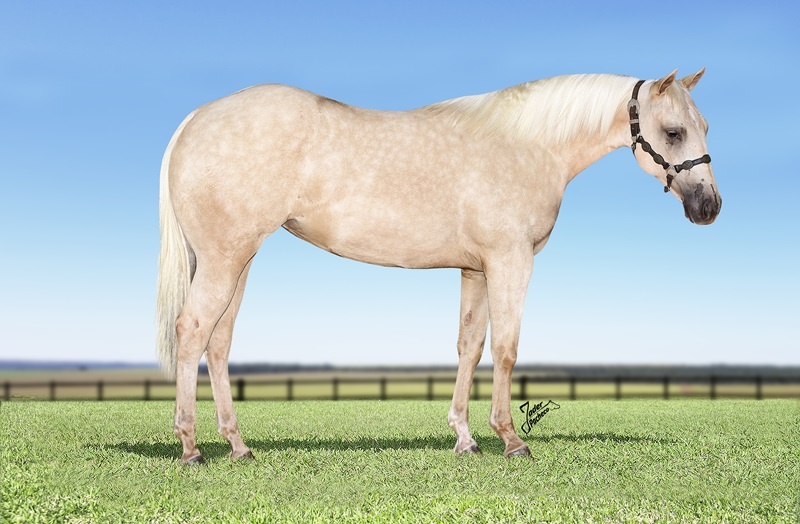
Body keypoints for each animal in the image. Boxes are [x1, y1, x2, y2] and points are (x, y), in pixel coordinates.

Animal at [157, 69, 720, 464]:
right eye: (673, 132)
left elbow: (470, 347)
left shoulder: (476, 270)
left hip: (238, 259)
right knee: (192, 330)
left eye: (704, 127)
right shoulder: (510, 261)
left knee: (218, 342)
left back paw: (238, 446)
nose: (709, 207)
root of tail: (194, 119)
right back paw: (190, 448)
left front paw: (465, 438)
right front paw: (511, 440)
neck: (527, 146)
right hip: (225, 258)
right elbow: (507, 349)